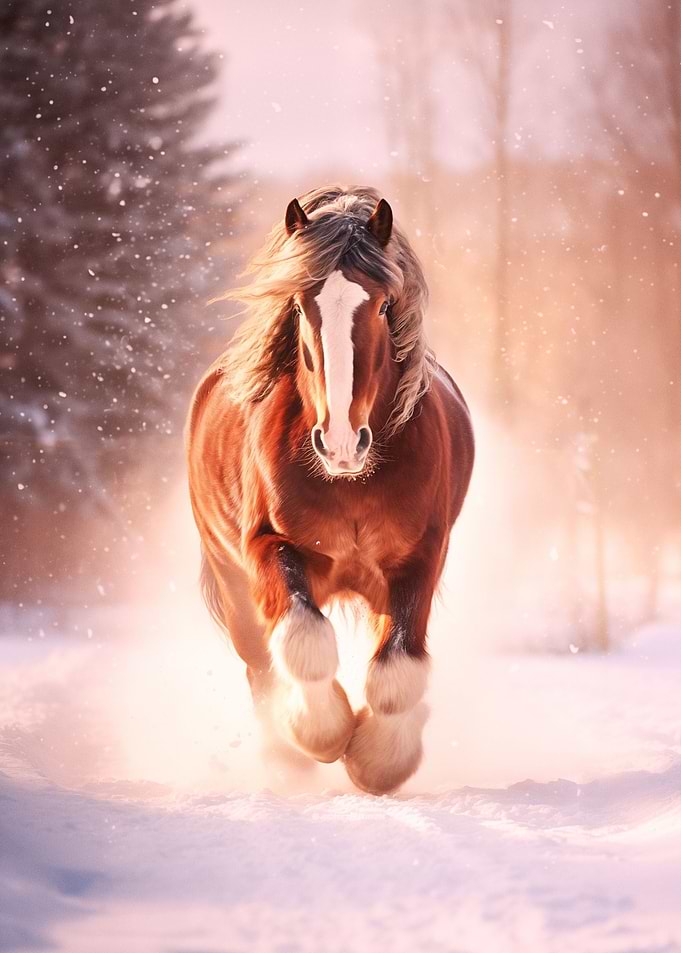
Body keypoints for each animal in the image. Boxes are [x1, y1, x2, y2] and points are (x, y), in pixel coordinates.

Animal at [186, 185, 474, 794]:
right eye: (300, 308)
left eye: (384, 306)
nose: (341, 442)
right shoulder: (268, 546)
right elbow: (305, 642)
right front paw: (324, 734)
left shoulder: (419, 558)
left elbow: (398, 666)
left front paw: (378, 762)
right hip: (233, 584)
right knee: (261, 667)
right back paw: (285, 758)